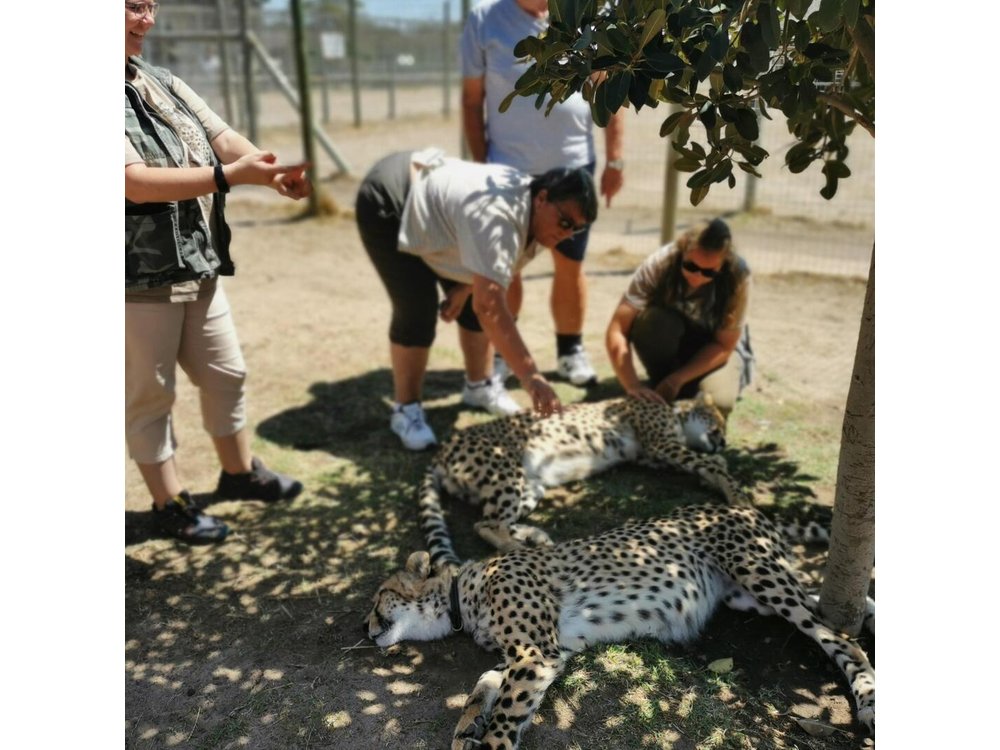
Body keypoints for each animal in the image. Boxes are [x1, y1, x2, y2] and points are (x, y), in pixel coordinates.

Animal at [366, 503, 876, 750]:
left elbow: (507, 711)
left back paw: (868, 701)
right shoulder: (542, 654)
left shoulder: (536, 653)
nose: (366, 627)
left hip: (757, 573)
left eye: (377, 598)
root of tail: (747, 507)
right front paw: (467, 727)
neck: (462, 594)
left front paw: (488, 741)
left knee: (841, 638)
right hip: (748, 593)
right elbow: (484, 685)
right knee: (826, 605)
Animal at [419, 394, 751, 570]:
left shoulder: (652, 455)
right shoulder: (661, 445)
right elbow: (710, 463)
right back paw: (521, 549)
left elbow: (705, 465)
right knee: (486, 524)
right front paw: (739, 496)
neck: (676, 414)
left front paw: (714, 477)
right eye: (717, 422)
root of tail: (443, 448)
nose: (723, 441)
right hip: (504, 471)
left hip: (530, 485)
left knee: (493, 519)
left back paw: (534, 536)